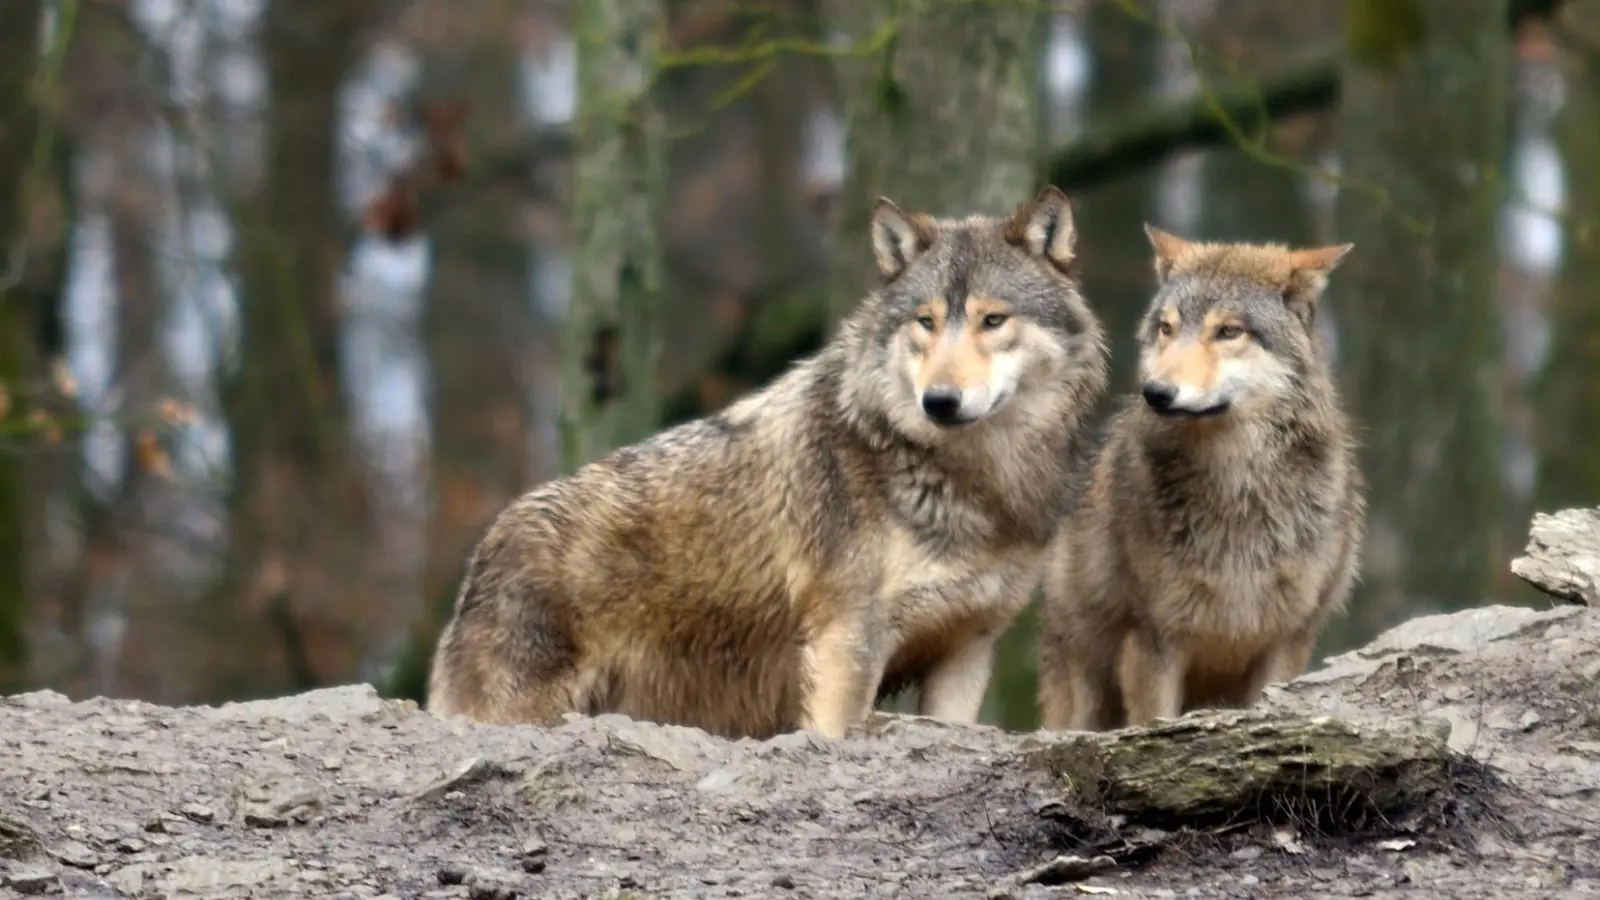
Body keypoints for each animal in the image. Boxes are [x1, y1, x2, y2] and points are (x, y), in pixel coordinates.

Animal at [428, 187, 1110, 740]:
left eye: (993, 320)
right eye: (927, 322)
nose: (939, 401)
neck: (969, 478)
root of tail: (486, 546)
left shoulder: (968, 648)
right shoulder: (844, 646)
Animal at [1035, 226, 1366, 732]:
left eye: (1228, 331)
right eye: (1166, 329)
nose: (1155, 392)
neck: (1238, 492)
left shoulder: (1287, 640)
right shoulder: (1154, 638)